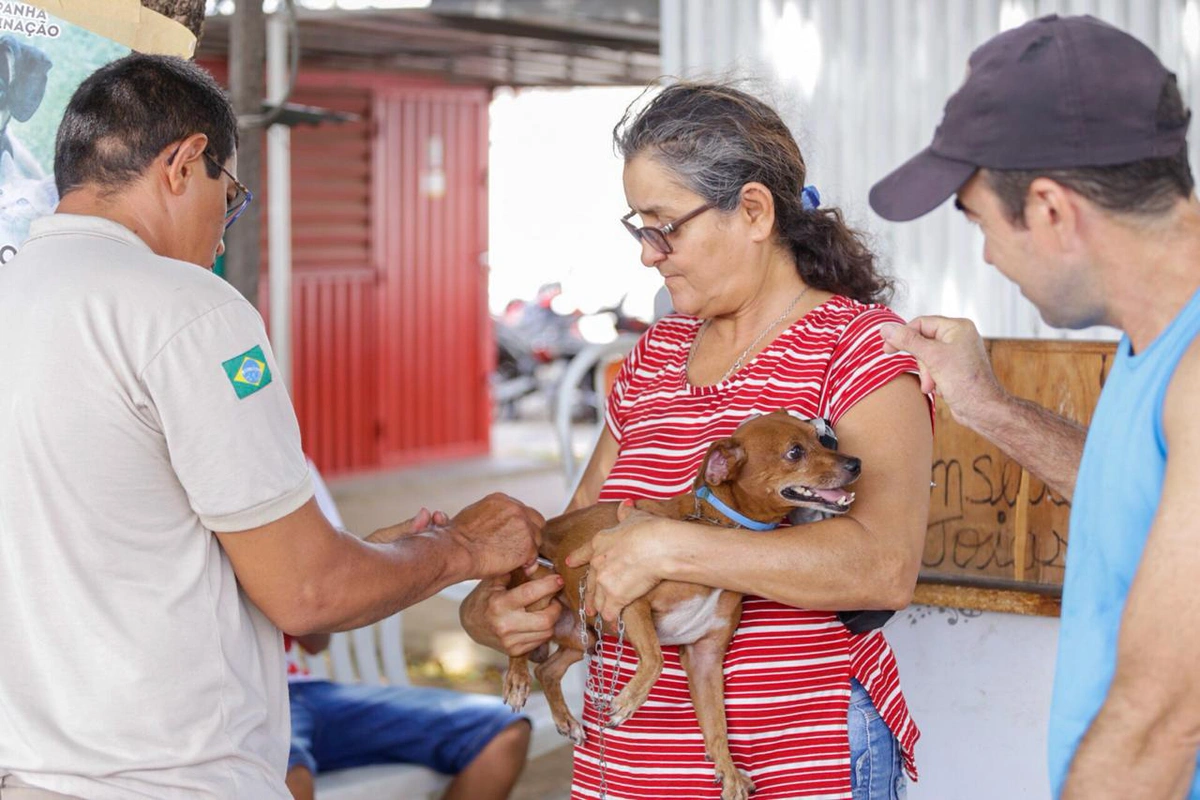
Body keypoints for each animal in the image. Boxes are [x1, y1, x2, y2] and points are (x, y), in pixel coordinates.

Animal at [501, 412, 859, 800]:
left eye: (819, 438)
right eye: (795, 452)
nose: (856, 463)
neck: (715, 525)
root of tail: (546, 528)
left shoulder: (705, 657)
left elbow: (716, 723)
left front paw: (729, 772)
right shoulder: (631, 601)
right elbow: (655, 658)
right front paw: (628, 701)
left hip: (585, 636)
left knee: (547, 670)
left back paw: (565, 719)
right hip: (540, 595)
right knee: (519, 644)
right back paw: (517, 679)